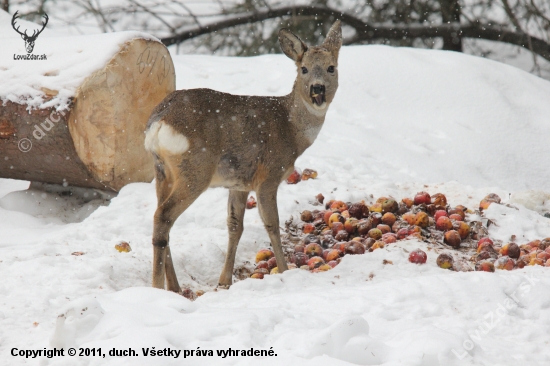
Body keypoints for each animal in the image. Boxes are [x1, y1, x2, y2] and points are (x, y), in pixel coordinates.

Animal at [146, 20, 344, 292]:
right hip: (194, 170)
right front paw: (285, 270)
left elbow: (234, 226)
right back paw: (158, 287)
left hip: (162, 171)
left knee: (162, 218)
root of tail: (159, 122)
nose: (318, 88)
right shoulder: (268, 175)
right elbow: (272, 224)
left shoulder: (238, 183)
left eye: (331, 67)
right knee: (163, 216)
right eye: (303, 69)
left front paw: (224, 280)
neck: (290, 128)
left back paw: (174, 286)